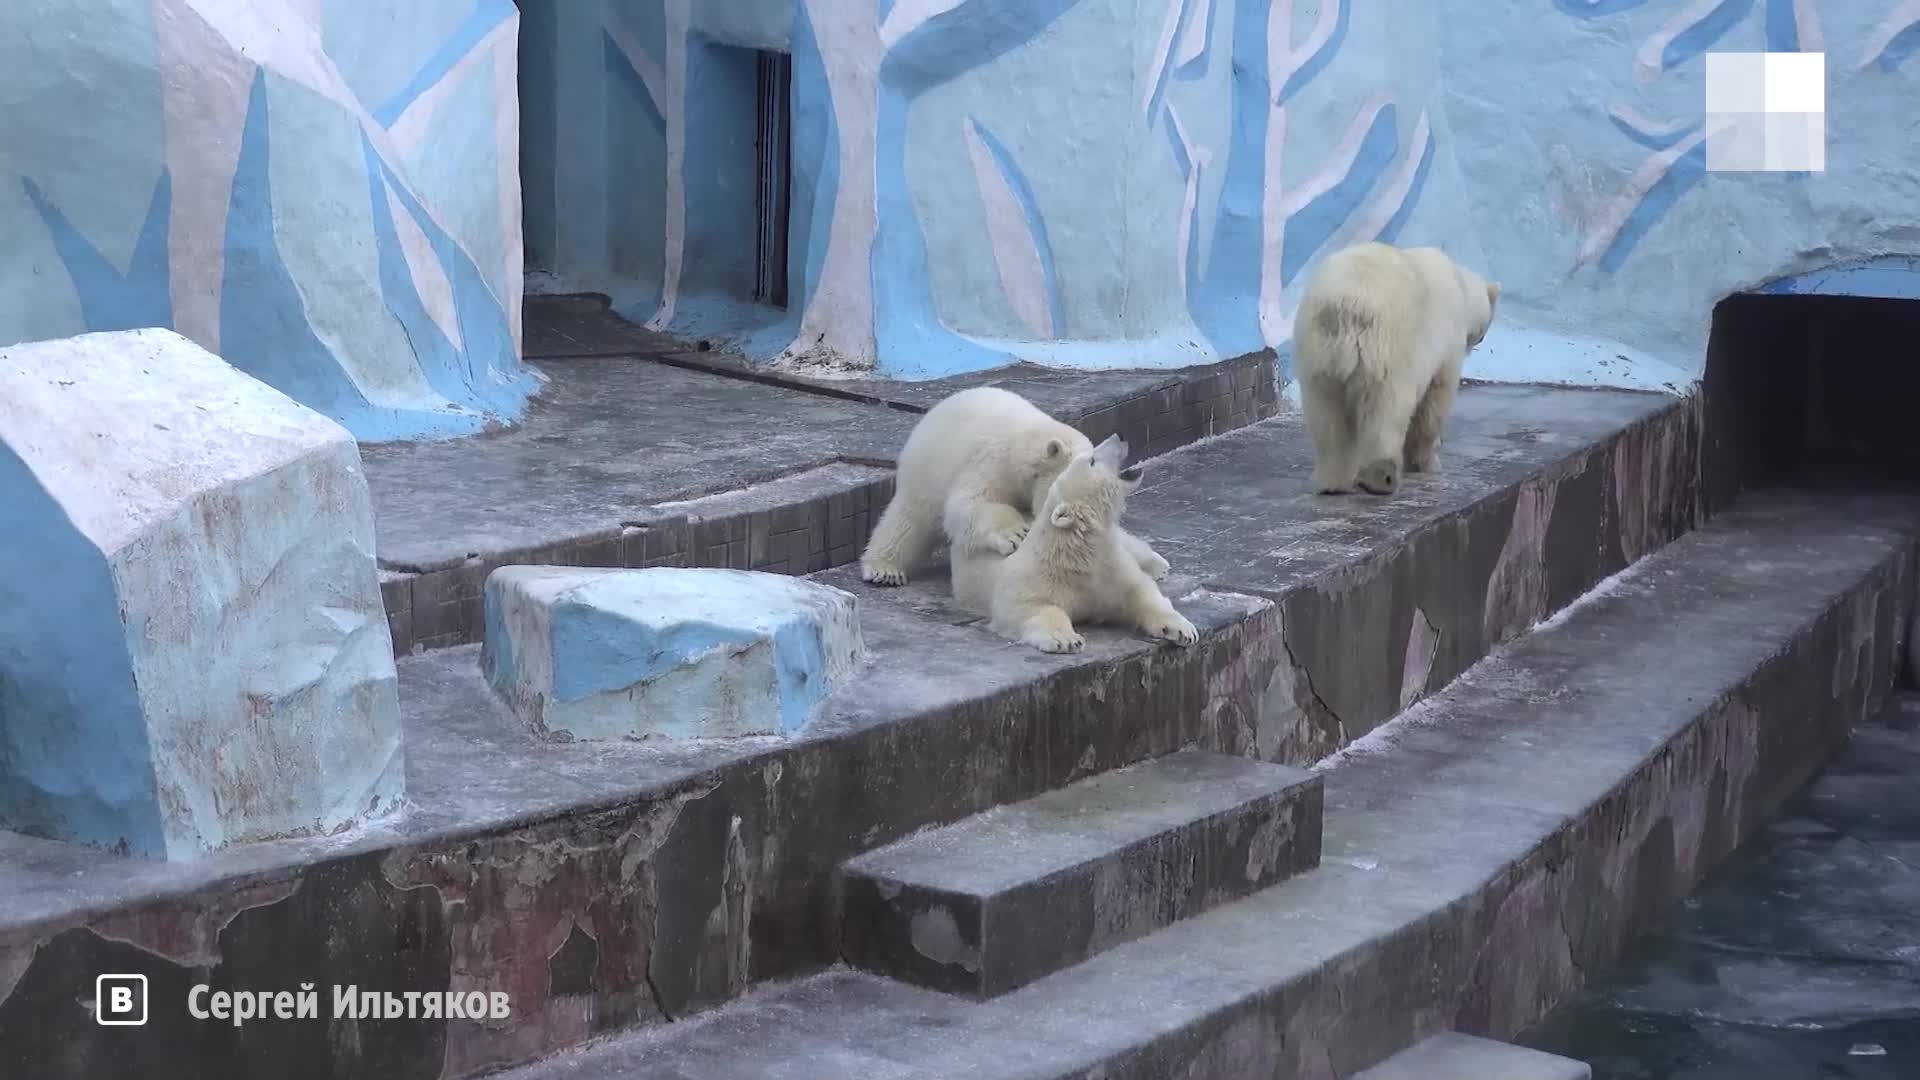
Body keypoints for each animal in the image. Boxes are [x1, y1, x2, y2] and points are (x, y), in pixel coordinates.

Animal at [867, 386, 1167, 584]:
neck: (1023, 448)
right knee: (907, 523)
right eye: (1091, 459)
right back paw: (883, 569)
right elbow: (972, 503)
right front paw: (1014, 535)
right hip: (926, 476)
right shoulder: (990, 463)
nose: (1121, 437)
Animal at [960, 432, 1198, 653]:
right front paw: (1066, 640)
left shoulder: (1112, 567)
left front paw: (1183, 630)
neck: (1079, 551)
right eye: (1091, 460)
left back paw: (1157, 565)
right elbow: (1025, 607)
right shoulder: (1033, 577)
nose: (1120, 435)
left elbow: (1142, 592)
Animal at [1290, 242, 1497, 495]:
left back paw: (1332, 482)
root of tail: (1346, 305)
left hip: (1318, 352)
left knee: (1326, 412)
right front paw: (1428, 463)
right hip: (1387, 349)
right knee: (1386, 409)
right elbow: (1435, 400)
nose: (1480, 339)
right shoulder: (1446, 341)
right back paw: (1382, 477)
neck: (1459, 283)